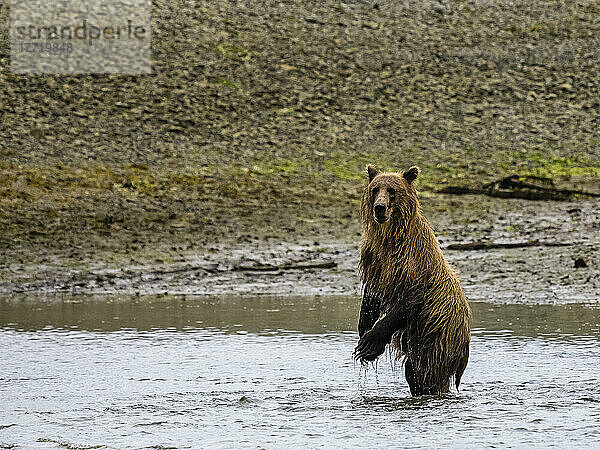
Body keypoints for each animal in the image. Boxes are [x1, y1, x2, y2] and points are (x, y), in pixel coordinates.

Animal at [354, 163, 472, 396]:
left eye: (392, 190)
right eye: (375, 189)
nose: (379, 208)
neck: (390, 236)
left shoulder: (413, 264)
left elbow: (408, 300)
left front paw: (369, 343)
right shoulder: (375, 258)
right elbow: (372, 293)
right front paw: (364, 330)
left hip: (436, 337)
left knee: (424, 372)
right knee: (415, 371)